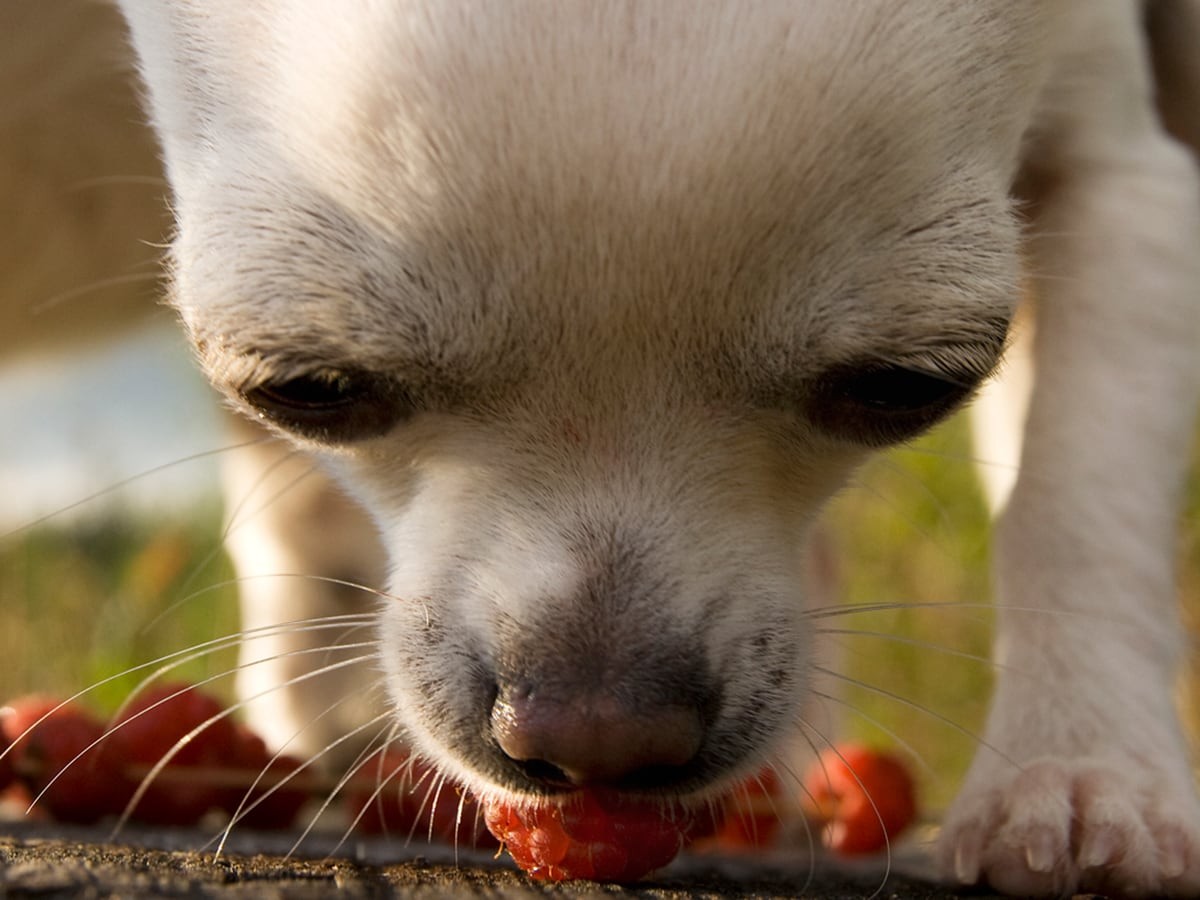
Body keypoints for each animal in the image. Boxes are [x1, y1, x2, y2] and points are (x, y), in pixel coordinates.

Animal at [9, 0, 1200, 897]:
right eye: (310, 389)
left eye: (904, 387)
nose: (601, 733)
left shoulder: (1118, 169)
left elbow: (1078, 495)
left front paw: (1082, 773)